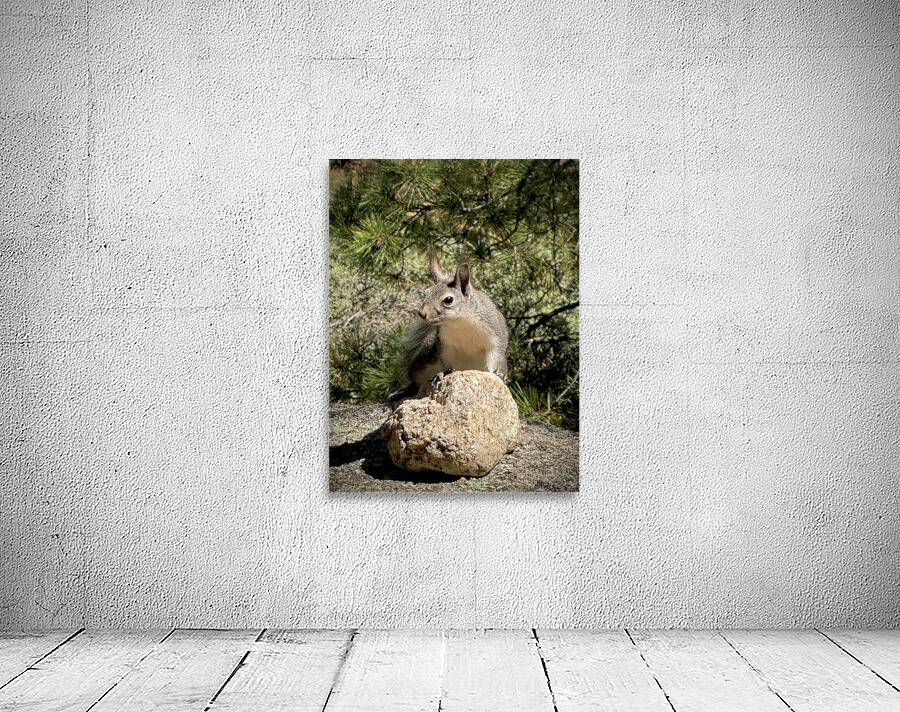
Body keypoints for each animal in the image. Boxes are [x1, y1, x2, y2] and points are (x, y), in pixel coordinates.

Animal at [394, 252, 509, 398]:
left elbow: (494, 356)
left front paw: (495, 373)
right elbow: (445, 361)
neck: (459, 322)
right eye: (426, 293)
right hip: (427, 355)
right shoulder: (445, 343)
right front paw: (442, 373)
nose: (422, 313)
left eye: (448, 300)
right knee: (416, 381)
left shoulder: (496, 336)